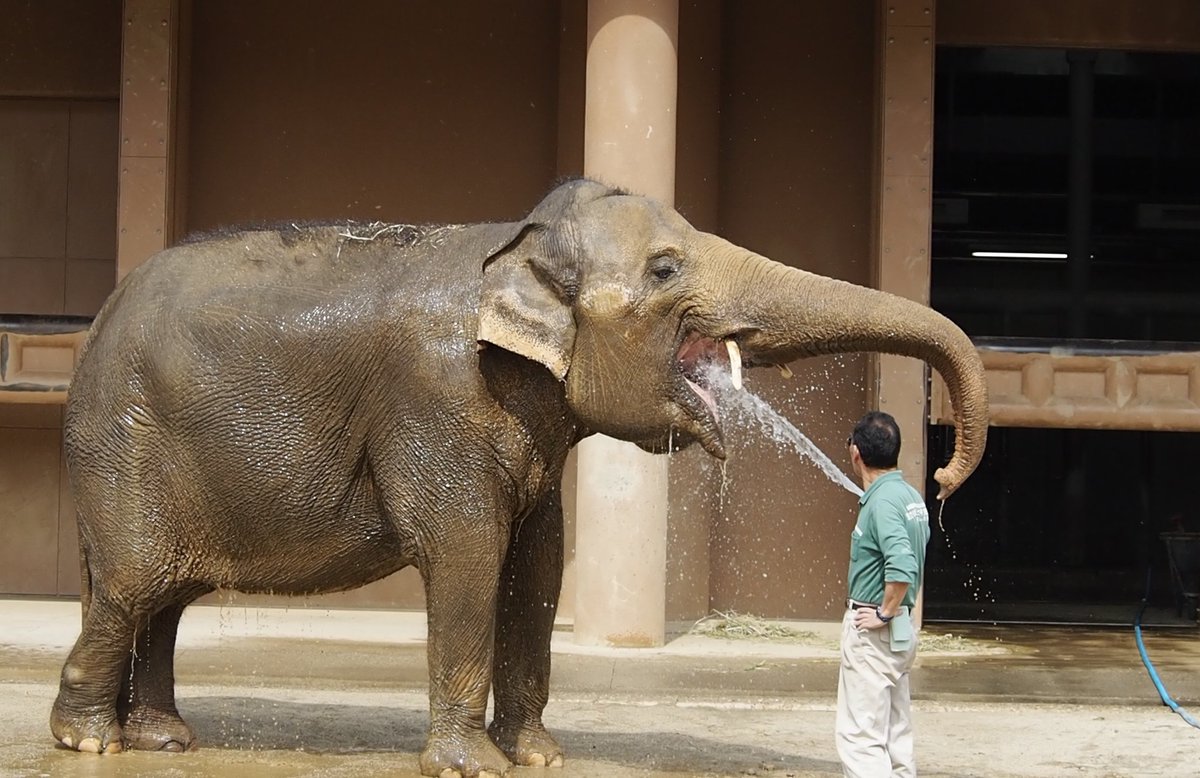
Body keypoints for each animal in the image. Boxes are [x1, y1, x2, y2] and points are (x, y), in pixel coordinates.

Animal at [49, 177, 984, 778]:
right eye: (665, 269)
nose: (940, 474)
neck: (515, 245)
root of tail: (98, 320)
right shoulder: (440, 402)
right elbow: (468, 553)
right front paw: (475, 768)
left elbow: (537, 563)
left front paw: (540, 756)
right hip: (122, 446)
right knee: (134, 586)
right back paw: (88, 743)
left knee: (163, 600)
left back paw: (164, 741)